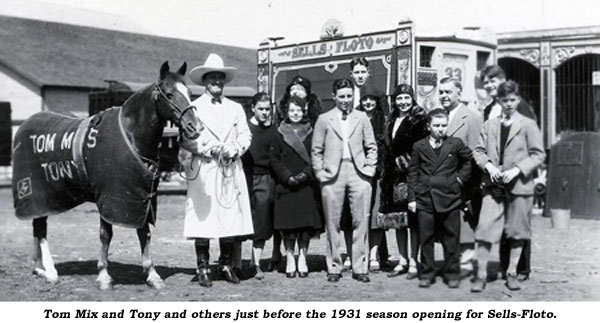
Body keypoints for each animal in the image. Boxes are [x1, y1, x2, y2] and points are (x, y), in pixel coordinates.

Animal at [11, 61, 202, 292]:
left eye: (190, 93)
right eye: (169, 94)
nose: (195, 127)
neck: (131, 134)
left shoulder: (140, 196)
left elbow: (144, 233)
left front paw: (152, 275)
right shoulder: (109, 196)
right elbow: (106, 234)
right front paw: (103, 276)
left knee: (37, 227)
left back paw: (39, 268)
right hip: (38, 195)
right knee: (40, 229)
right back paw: (50, 271)